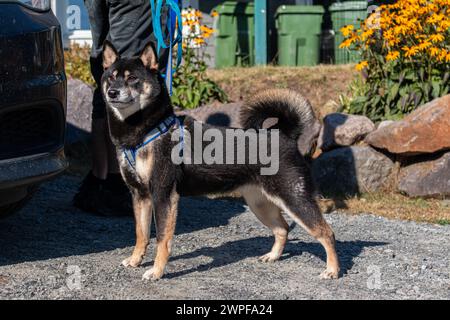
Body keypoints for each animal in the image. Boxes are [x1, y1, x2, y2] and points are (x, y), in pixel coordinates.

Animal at [100, 42, 340, 280]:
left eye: (132, 78)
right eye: (111, 77)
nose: (112, 92)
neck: (145, 131)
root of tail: (286, 136)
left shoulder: (163, 194)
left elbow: (162, 239)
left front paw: (157, 272)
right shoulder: (140, 195)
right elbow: (141, 233)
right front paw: (135, 260)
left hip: (294, 199)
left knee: (326, 232)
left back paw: (332, 270)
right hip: (260, 203)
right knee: (282, 229)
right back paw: (273, 256)